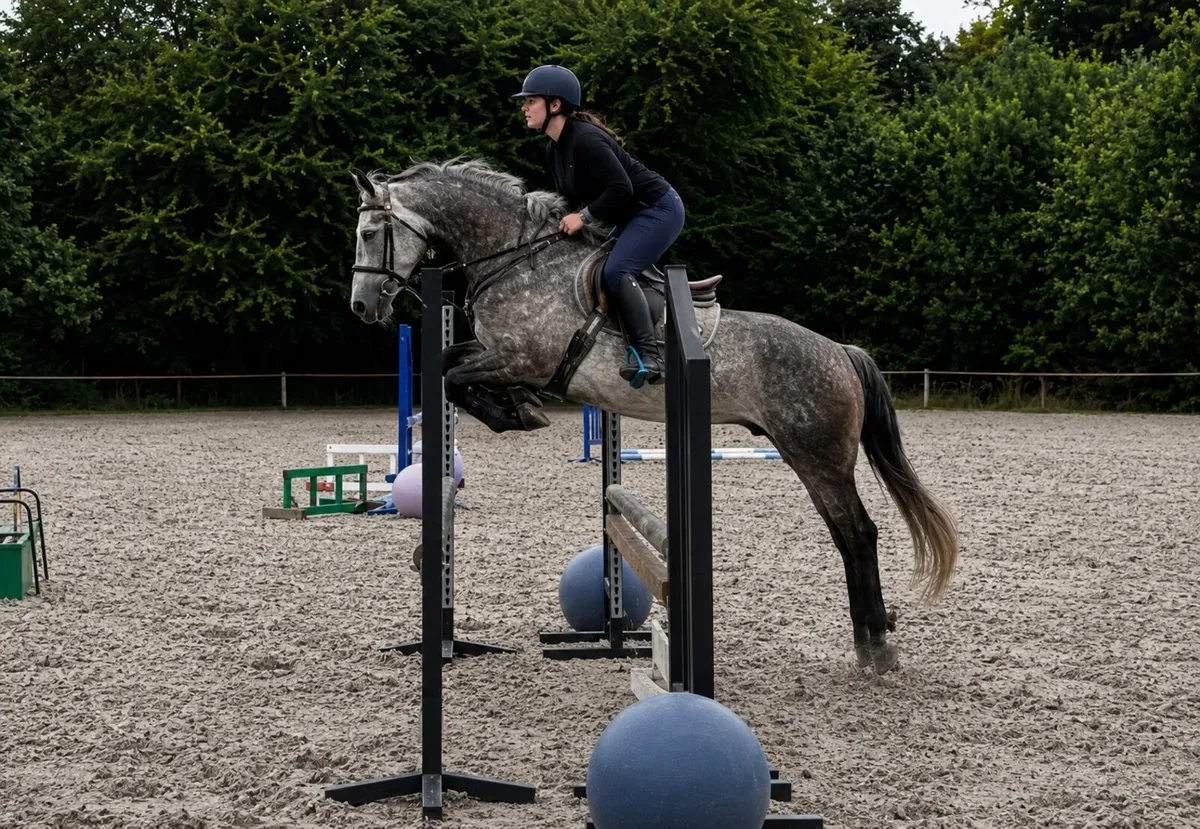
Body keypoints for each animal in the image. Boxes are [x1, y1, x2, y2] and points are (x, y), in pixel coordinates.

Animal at [347, 157, 958, 675]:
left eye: (370, 234)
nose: (361, 308)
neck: (514, 260)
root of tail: (840, 352)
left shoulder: (523, 357)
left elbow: (453, 374)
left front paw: (519, 412)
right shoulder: (501, 355)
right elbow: (451, 366)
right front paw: (516, 407)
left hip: (819, 456)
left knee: (858, 534)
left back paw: (877, 648)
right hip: (807, 455)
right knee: (846, 535)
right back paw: (870, 641)